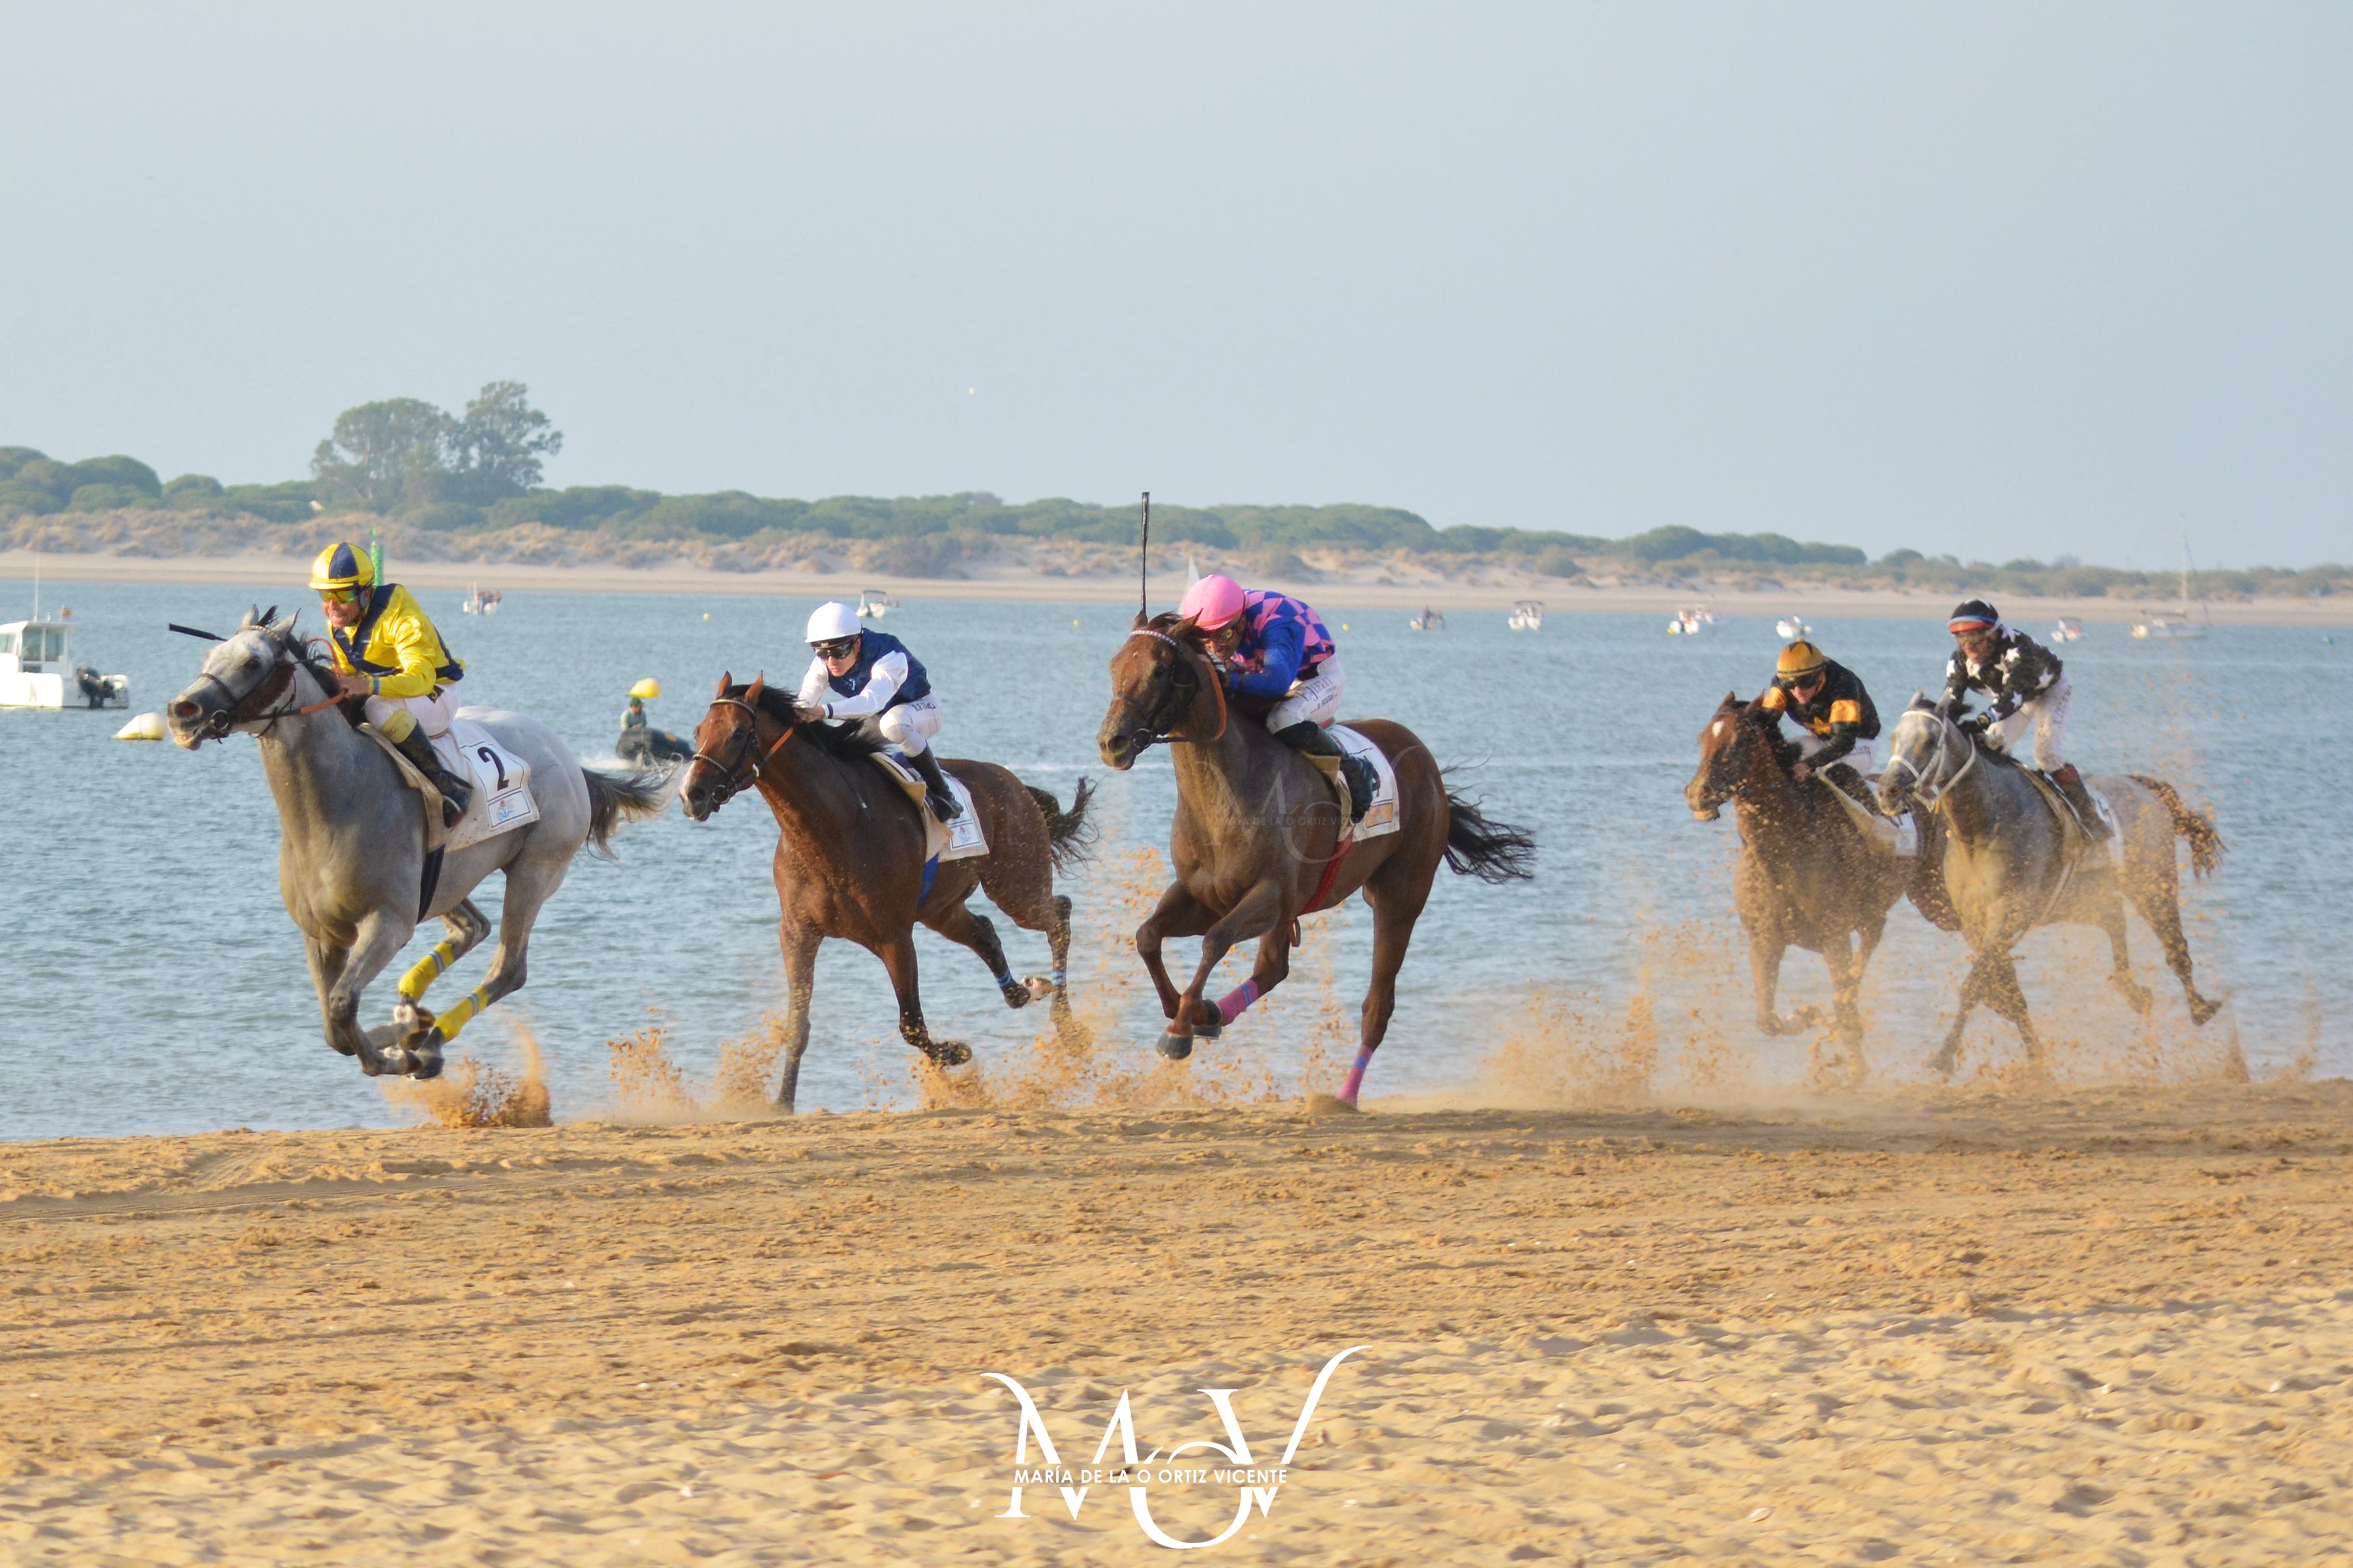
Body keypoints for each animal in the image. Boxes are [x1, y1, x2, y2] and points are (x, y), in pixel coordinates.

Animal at [168, 608, 669, 1079]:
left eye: (252, 662)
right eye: (209, 657)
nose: (181, 711)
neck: (333, 806)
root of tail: (565, 756)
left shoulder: (388, 921)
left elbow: (343, 1006)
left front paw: (402, 1053)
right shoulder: (321, 933)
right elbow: (335, 1029)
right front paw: (403, 1031)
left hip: (535, 869)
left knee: (508, 968)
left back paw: (430, 1042)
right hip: (446, 879)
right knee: (473, 928)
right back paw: (415, 1013)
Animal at [678, 674, 1094, 1110]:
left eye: (738, 733)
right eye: (699, 731)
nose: (692, 795)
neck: (837, 827)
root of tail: (1016, 784)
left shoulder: (894, 935)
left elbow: (911, 1024)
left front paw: (956, 1053)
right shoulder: (798, 932)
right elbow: (798, 1023)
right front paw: (783, 1101)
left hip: (1015, 885)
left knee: (1059, 915)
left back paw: (1067, 1024)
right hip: (941, 909)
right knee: (984, 930)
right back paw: (1022, 990)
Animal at [1096, 612, 1536, 1106]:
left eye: (1158, 670)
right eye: (1114, 665)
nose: (1112, 742)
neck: (1225, 793)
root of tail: (1427, 763)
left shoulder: (1269, 895)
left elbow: (1215, 940)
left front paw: (1180, 1026)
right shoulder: (1205, 895)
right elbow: (1147, 936)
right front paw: (1188, 1010)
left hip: (1399, 897)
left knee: (1377, 1003)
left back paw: (1345, 1097)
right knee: (1272, 969)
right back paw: (1217, 1014)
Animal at [1684, 693, 1915, 1076]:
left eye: (1740, 741)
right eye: (1703, 738)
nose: (1698, 794)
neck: (1788, 844)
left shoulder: (1835, 936)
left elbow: (1843, 1005)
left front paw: (1854, 1068)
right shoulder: (1764, 939)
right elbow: (1768, 1020)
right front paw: (1807, 1015)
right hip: (1873, 914)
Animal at [1876, 697, 2225, 1076]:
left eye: (1928, 741)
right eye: (1893, 737)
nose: (1887, 791)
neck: (1984, 828)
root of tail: (2144, 789)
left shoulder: (2007, 914)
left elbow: (1975, 985)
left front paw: (1944, 1056)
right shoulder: (1973, 923)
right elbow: (2004, 988)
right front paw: (2036, 1057)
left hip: (2153, 886)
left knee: (2176, 949)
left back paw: (2201, 1009)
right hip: (2085, 899)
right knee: (2115, 921)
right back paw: (2134, 991)